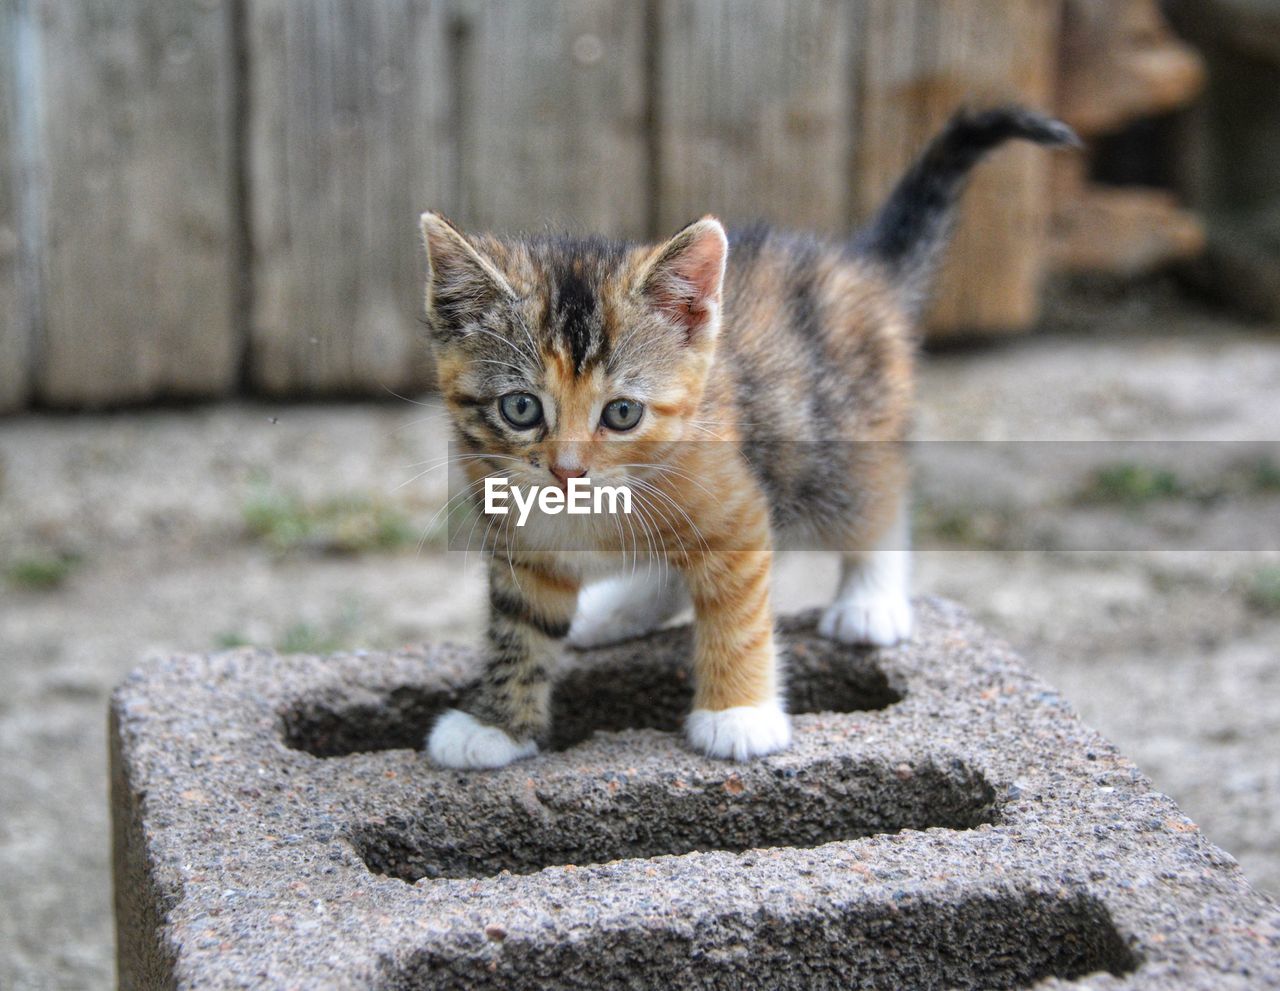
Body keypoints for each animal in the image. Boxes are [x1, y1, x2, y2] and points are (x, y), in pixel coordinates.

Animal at [422, 110, 1080, 778]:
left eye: (623, 413)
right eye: (521, 408)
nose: (567, 472)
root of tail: (857, 267)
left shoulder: (735, 502)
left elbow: (734, 615)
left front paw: (738, 713)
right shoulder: (521, 545)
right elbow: (520, 631)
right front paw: (495, 724)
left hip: (842, 437)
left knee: (877, 501)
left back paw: (871, 598)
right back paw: (617, 611)